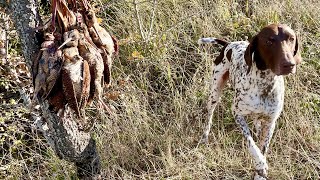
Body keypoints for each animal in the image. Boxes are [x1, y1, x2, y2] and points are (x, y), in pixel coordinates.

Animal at [199, 23, 302, 179]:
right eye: (269, 41)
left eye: (291, 38)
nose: (289, 65)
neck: (265, 83)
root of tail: (229, 44)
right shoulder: (237, 114)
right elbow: (251, 144)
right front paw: (260, 164)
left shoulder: (271, 121)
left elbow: (263, 147)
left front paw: (260, 174)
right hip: (215, 92)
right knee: (209, 116)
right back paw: (205, 136)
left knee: (257, 121)